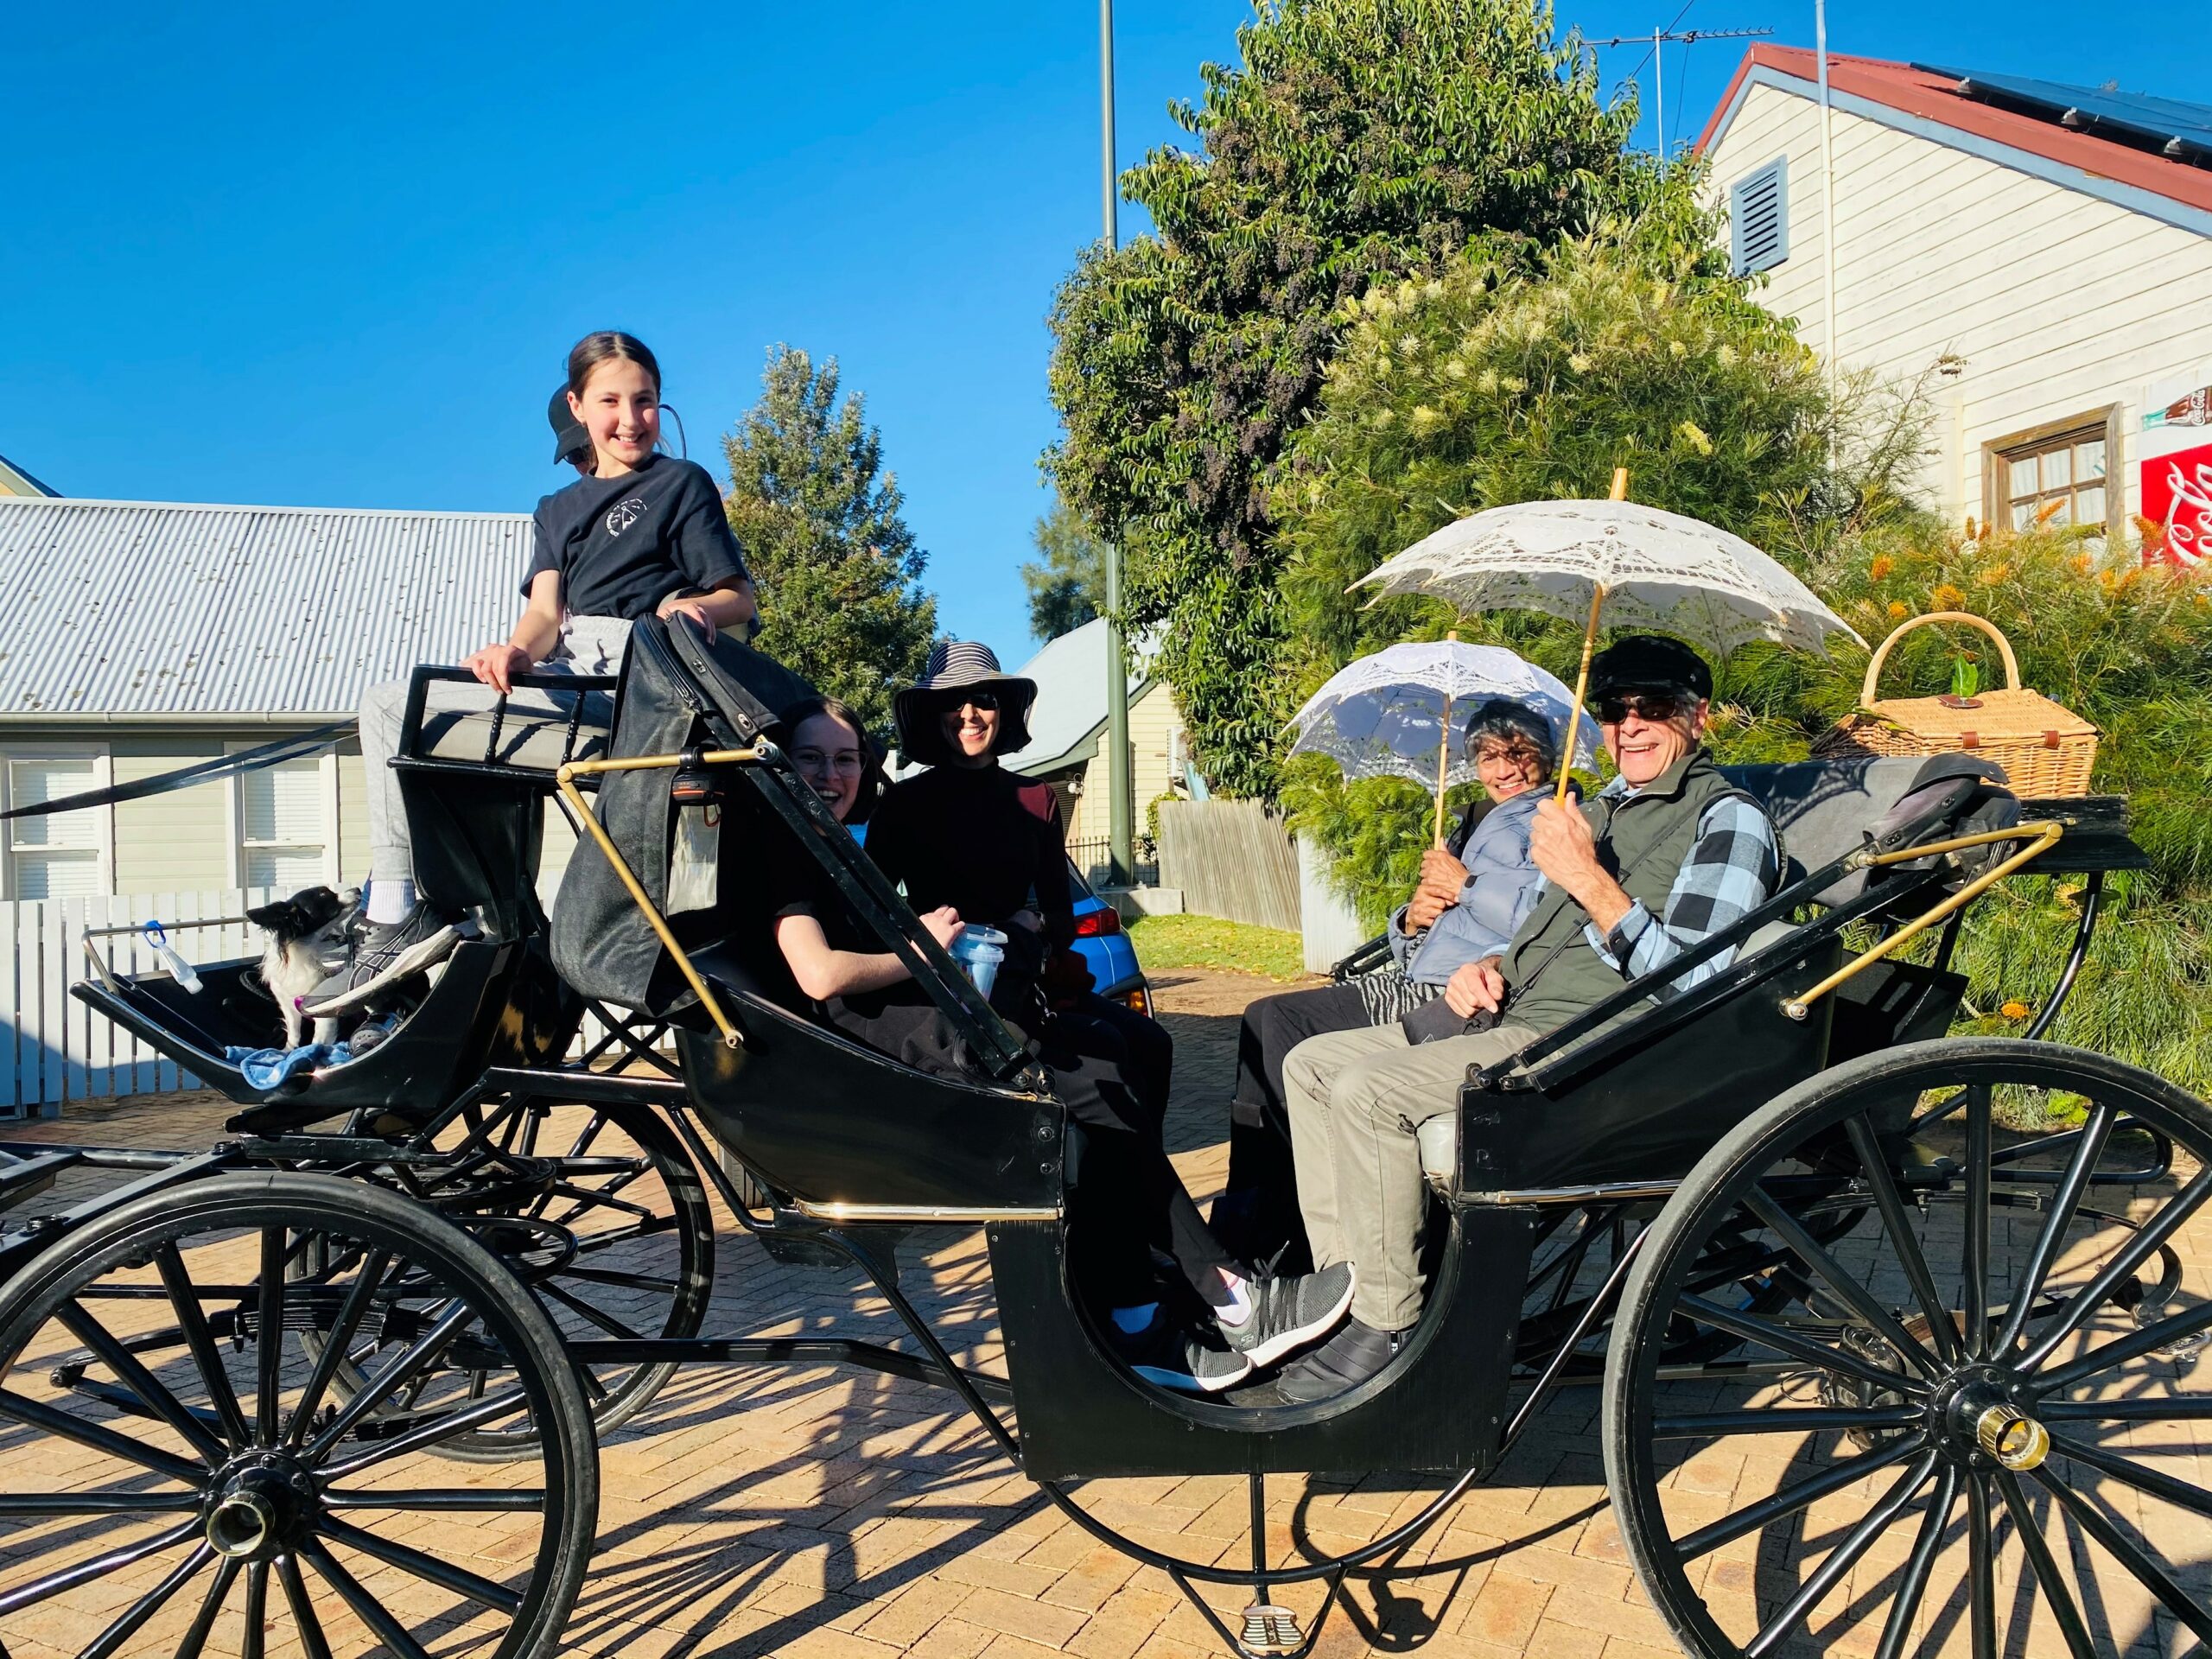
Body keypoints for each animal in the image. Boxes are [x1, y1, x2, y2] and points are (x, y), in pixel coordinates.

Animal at [246, 889, 358, 1044]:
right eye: (324, 894)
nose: (357, 889)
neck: (307, 951)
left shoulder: (325, 1011)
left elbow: (318, 1042)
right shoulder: (288, 1007)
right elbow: (293, 1034)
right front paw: (289, 1049)